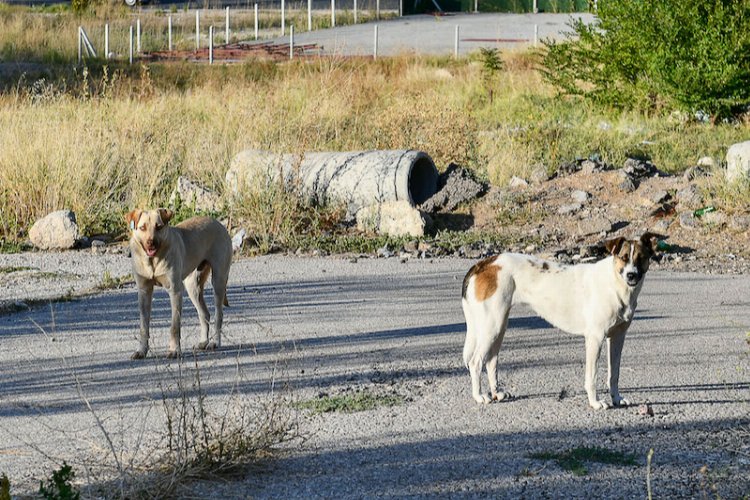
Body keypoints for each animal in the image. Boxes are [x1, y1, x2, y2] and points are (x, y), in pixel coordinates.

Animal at [126, 208, 232, 360]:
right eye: (142, 227)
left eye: (159, 227)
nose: (151, 243)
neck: (152, 261)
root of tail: (219, 224)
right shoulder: (144, 292)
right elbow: (143, 326)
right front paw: (141, 350)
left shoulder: (175, 291)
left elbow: (175, 326)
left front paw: (174, 350)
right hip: (192, 286)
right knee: (204, 314)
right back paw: (203, 342)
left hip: (218, 281)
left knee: (219, 314)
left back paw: (214, 342)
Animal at [464, 232, 664, 408]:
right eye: (623, 257)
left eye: (641, 258)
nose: (631, 275)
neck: (615, 284)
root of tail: (484, 263)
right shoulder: (595, 339)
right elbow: (592, 377)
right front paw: (595, 403)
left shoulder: (617, 338)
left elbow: (614, 374)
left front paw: (616, 398)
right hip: (492, 326)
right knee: (475, 362)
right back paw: (479, 396)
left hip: (499, 327)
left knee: (491, 361)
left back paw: (496, 392)